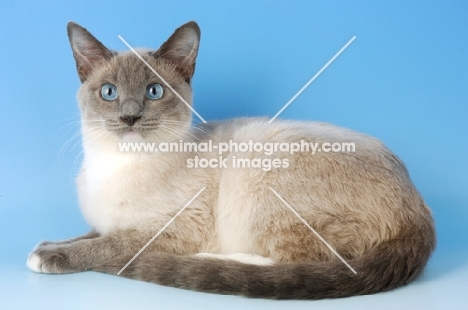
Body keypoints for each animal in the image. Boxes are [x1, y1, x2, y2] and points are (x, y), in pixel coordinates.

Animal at [25, 20, 436, 300]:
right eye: (109, 93)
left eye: (154, 91)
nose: (129, 118)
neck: (115, 164)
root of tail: (420, 213)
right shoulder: (107, 223)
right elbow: (85, 235)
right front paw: (45, 246)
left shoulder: (165, 232)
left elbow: (104, 245)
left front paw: (48, 258)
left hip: (256, 180)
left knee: (301, 263)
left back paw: (214, 261)